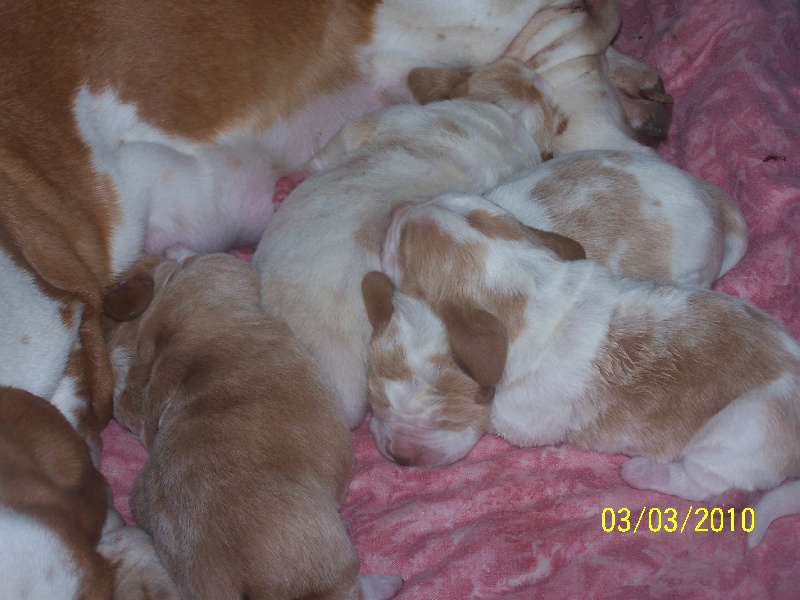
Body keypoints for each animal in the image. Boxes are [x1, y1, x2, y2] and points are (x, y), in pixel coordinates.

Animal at [364, 193, 800, 548]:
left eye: (404, 243)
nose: (397, 207)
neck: (532, 284)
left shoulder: (522, 420)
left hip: (737, 433)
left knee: (704, 484)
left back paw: (642, 471)